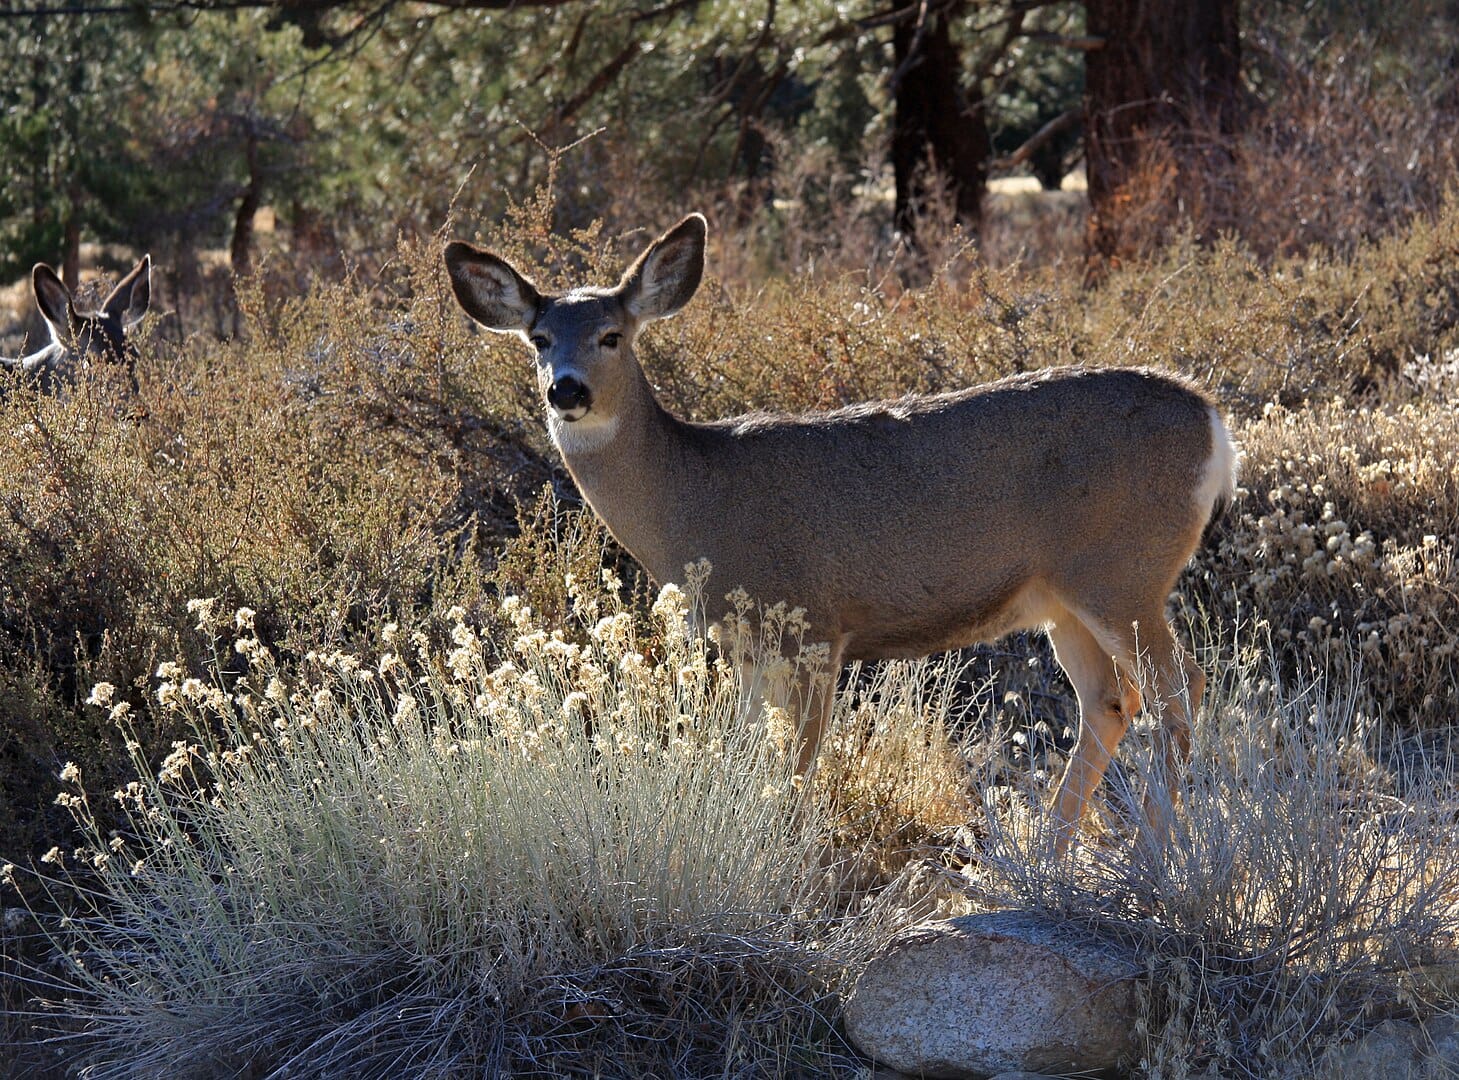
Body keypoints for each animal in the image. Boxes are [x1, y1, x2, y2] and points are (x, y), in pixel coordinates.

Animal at [446, 214, 1243, 846]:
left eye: (612, 335)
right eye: (538, 338)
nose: (566, 389)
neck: (696, 497)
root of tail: (1214, 422)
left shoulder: (813, 625)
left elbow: (799, 764)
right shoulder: (746, 643)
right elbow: (748, 755)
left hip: (1122, 571)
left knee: (1182, 687)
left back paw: (1156, 845)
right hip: (1061, 599)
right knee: (1111, 701)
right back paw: (1050, 852)